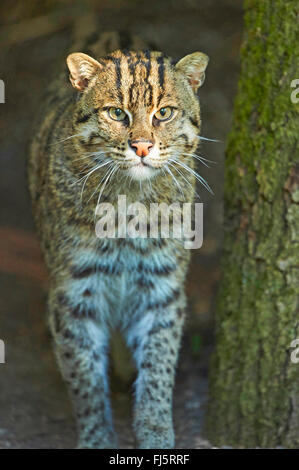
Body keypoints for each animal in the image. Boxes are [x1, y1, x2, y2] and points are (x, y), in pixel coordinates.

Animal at [28, 31, 211, 450]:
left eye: (164, 113)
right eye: (116, 114)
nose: (142, 146)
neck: (131, 203)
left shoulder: (162, 286)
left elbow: (159, 364)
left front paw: (156, 432)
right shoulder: (75, 290)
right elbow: (84, 378)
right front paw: (97, 438)